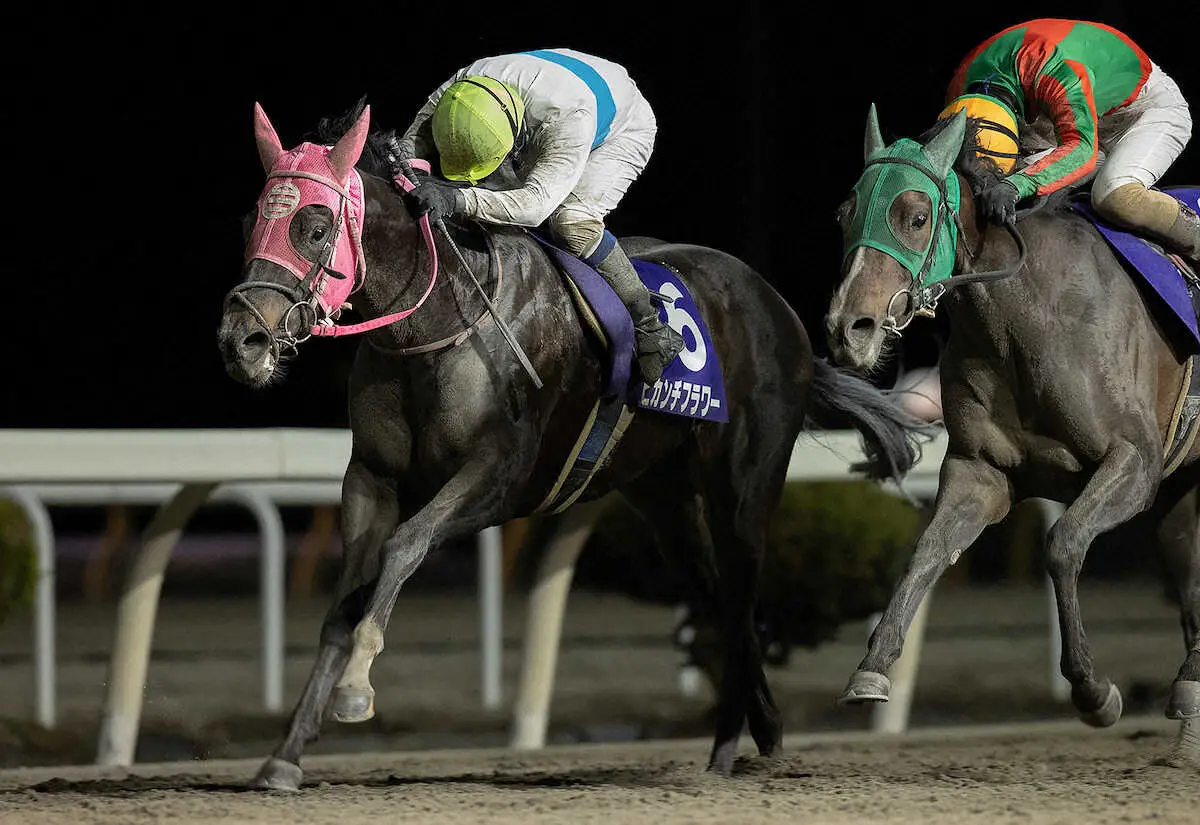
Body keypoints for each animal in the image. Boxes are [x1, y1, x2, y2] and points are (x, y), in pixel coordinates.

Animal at [217, 98, 925, 788]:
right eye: (252, 218)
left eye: (313, 226)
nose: (241, 339)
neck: (438, 321)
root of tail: (780, 308)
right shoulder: (370, 477)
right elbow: (341, 607)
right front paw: (285, 755)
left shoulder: (500, 476)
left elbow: (406, 545)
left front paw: (357, 688)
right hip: (665, 501)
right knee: (716, 601)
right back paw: (743, 736)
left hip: (745, 489)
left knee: (742, 592)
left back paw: (750, 737)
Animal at [824, 104, 1200, 767]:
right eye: (846, 214)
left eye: (915, 216)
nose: (849, 329)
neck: (1026, 315)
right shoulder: (981, 471)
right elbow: (926, 552)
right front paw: (872, 668)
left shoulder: (1135, 461)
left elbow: (1063, 544)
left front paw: (1093, 690)